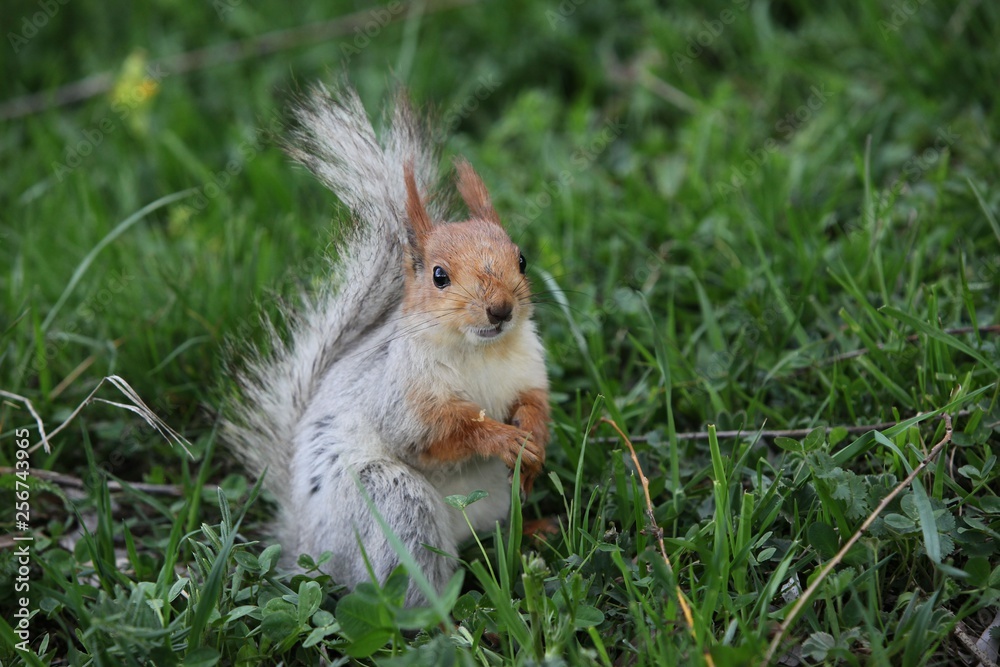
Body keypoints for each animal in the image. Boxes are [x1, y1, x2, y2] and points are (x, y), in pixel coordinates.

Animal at [227, 81, 552, 608]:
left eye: (521, 259)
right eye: (439, 276)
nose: (500, 309)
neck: (480, 351)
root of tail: (305, 541)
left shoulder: (529, 369)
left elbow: (534, 402)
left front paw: (534, 441)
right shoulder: (402, 396)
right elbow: (436, 436)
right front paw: (501, 437)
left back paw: (538, 529)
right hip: (391, 501)